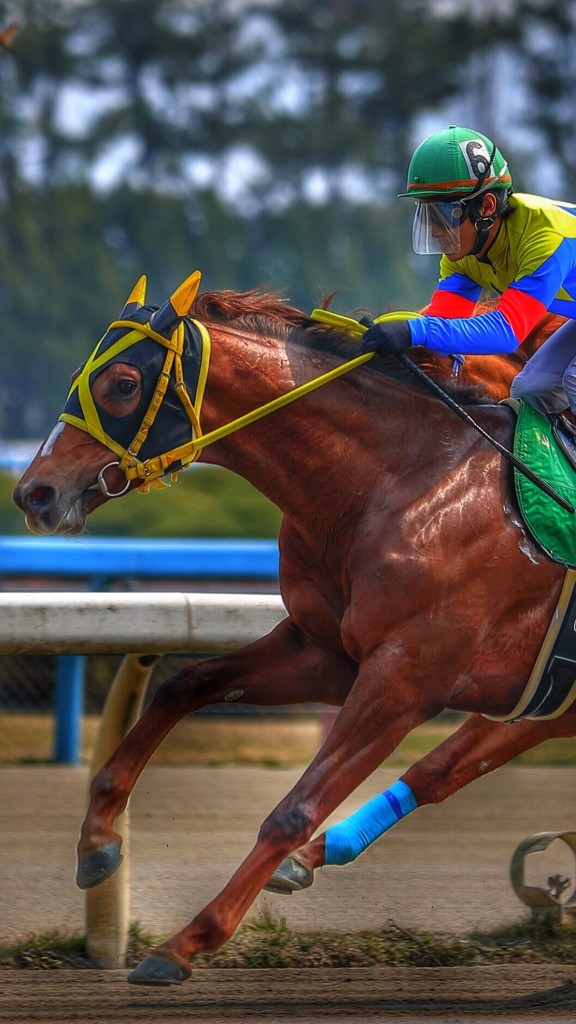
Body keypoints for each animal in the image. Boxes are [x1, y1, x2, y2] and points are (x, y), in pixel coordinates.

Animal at [13, 271, 576, 986]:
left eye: (121, 383)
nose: (34, 493)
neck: (402, 481)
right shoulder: (328, 653)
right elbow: (183, 686)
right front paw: (98, 841)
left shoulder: (406, 678)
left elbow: (294, 809)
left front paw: (186, 942)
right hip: (542, 705)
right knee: (441, 770)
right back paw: (311, 859)